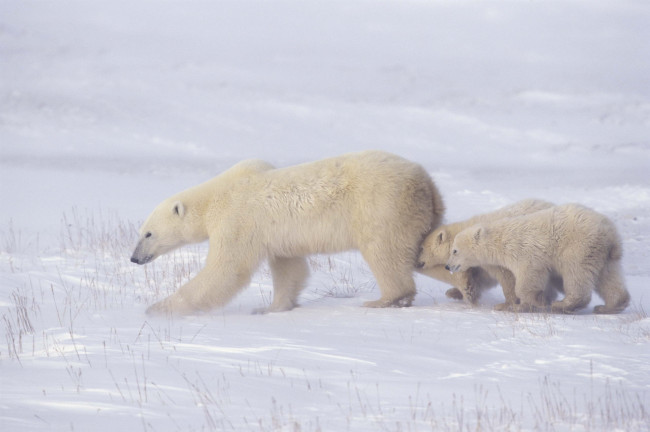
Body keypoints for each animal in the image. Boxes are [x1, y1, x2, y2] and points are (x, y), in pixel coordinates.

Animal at [129, 150, 442, 316]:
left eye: (148, 234)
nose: (134, 258)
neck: (214, 198)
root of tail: (426, 183)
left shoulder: (237, 221)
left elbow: (226, 271)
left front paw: (158, 309)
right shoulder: (276, 236)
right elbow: (289, 270)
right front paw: (271, 308)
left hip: (381, 208)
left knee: (384, 251)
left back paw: (384, 299)